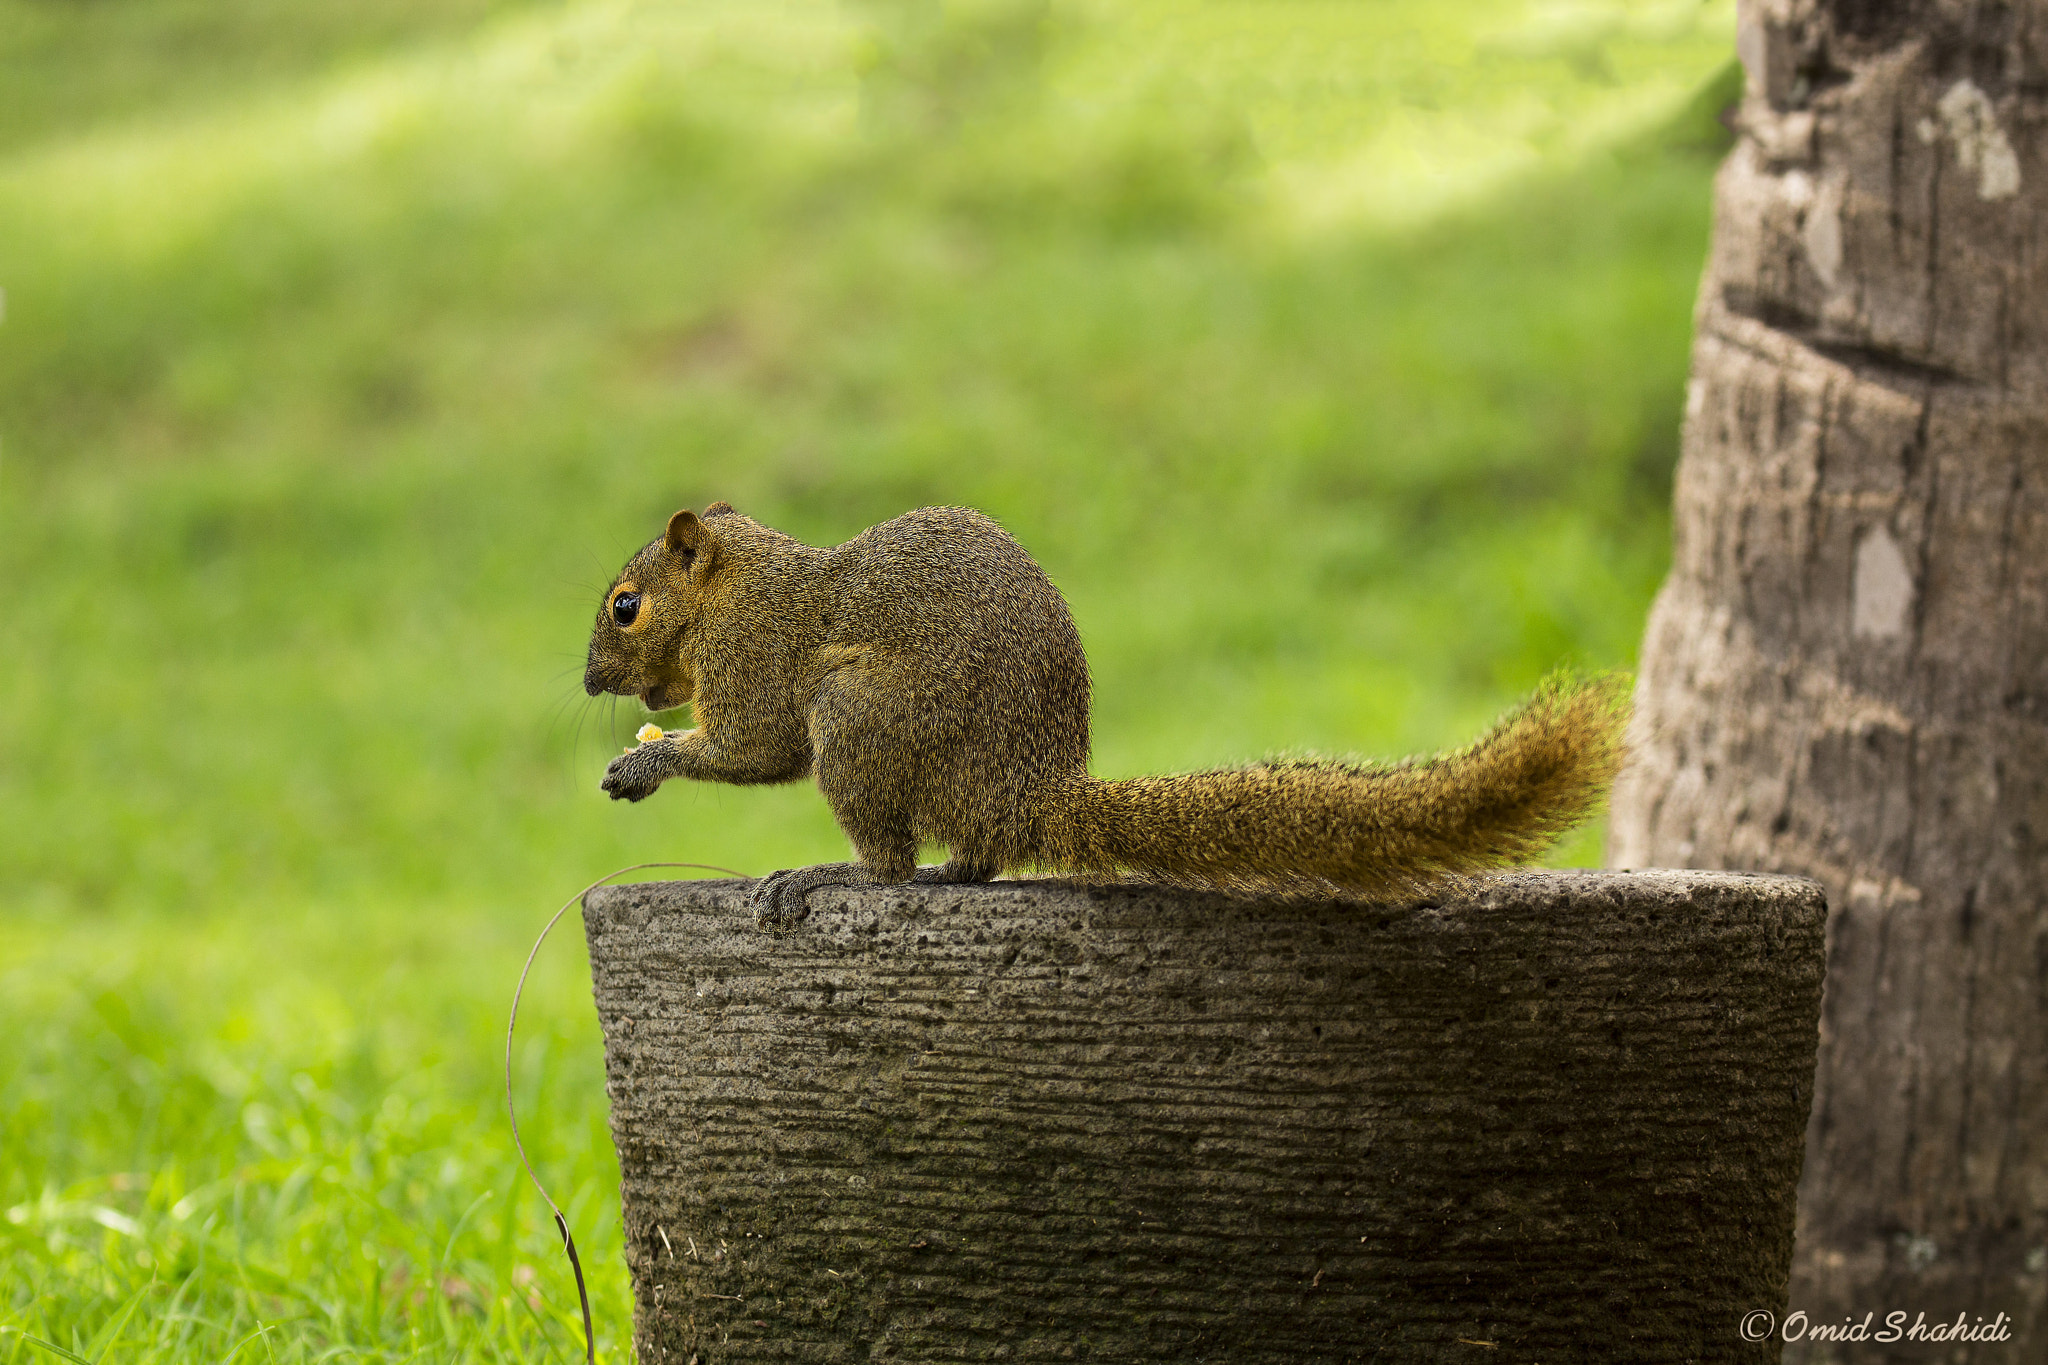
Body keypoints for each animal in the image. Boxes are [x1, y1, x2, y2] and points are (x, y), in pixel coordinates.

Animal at [583, 503, 1629, 929]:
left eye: (625, 606)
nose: (592, 681)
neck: (735, 589)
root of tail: (1031, 790)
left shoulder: (758, 657)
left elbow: (757, 749)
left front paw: (645, 763)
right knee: (968, 865)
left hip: (860, 719)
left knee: (896, 867)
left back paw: (827, 873)